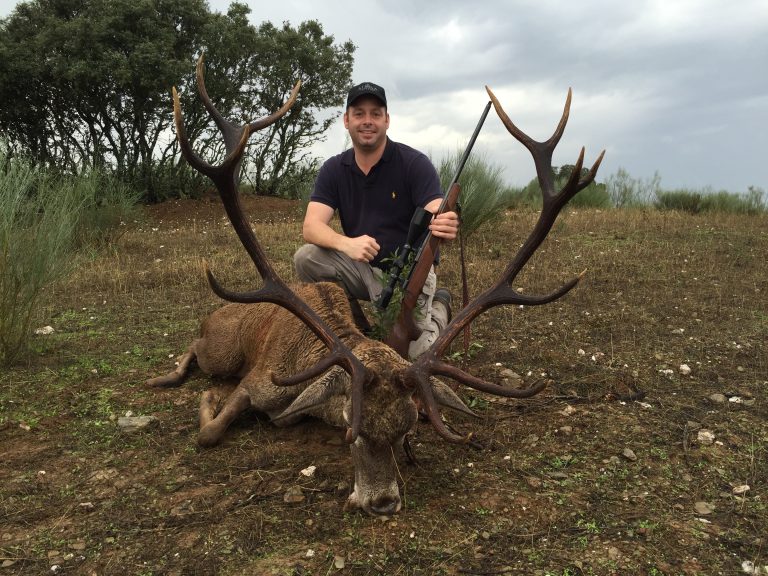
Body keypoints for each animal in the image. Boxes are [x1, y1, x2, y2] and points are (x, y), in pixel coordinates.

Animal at [147, 54, 604, 517]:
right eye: (353, 426)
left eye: (408, 428)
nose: (383, 502)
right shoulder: (258, 381)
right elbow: (208, 432)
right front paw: (209, 403)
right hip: (221, 348)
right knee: (195, 348)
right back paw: (166, 377)